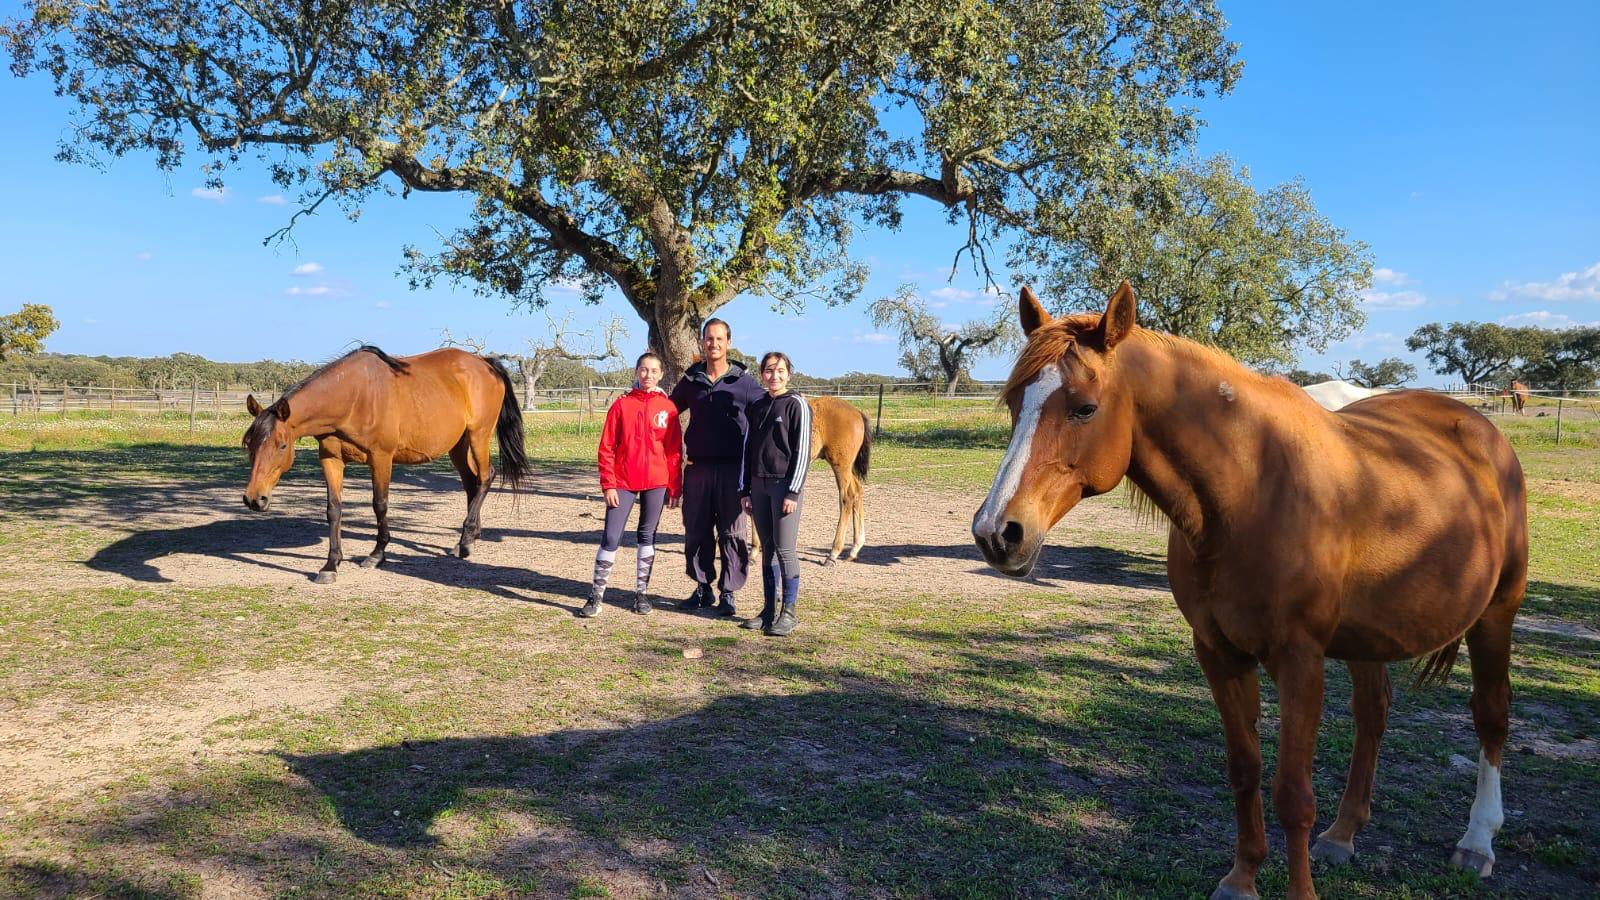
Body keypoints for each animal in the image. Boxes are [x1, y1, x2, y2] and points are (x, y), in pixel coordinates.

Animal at [243, 342, 528, 582]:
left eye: (281, 445)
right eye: (249, 444)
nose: (255, 499)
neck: (353, 397)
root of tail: (485, 363)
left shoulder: (381, 458)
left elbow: (380, 505)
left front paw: (377, 554)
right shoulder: (330, 459)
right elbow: (333, 509)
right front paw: (330, 565)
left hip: (478, 436)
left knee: (485, 477)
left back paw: (467, 539)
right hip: (458, 445)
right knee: (472, 483)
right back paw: (466, 539)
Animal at [966, 283, 1529, 890]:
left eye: (1084, 407)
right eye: (1014, 404)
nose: (997, 533)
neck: (1251, 490)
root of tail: (1478, 427)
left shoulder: (1299, 661)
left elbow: (1293, 796)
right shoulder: (1219, 652)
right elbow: (1244, 770)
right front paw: (1241, 878)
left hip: (1497, 613)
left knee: (1491, 715)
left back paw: (1477, 842)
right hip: (1369, 637)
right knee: (1372, 713)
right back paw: (1343, 833)